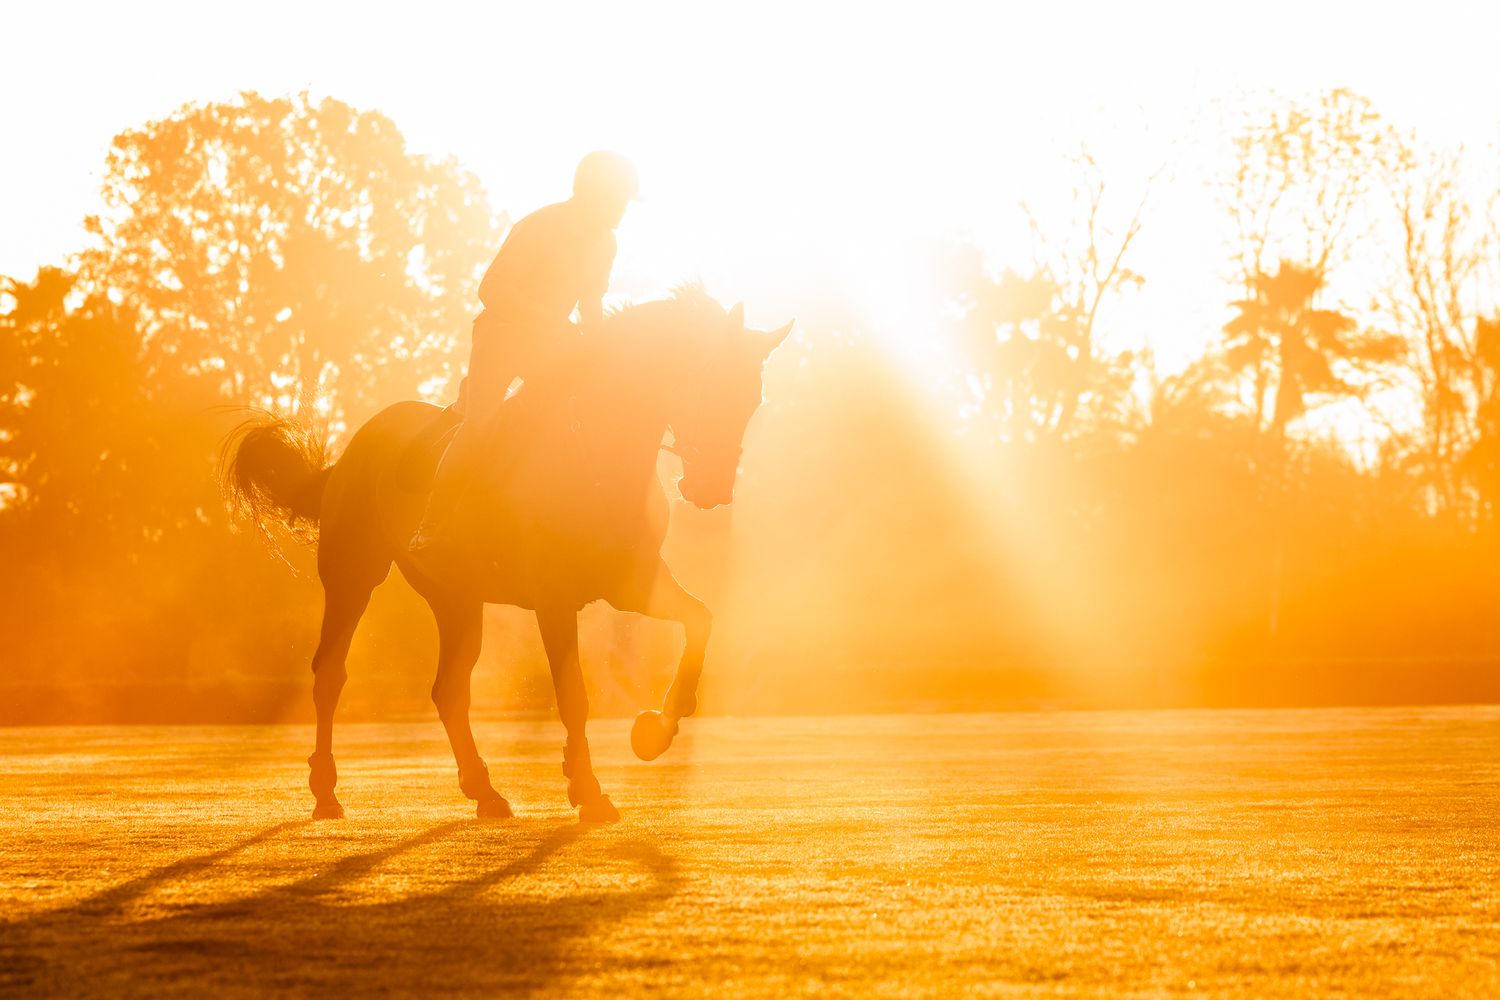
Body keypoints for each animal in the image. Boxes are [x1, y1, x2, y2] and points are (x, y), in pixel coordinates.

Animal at [222, 286, 791, 822]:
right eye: (709, 383)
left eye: (751, 399)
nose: (711, 489)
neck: (598, 455)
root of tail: (350, 453)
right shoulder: (555, 599)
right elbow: (573, 695)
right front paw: (589, 791)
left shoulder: (632, 583)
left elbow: (700, 620)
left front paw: (656, 729)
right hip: (353, 576)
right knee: (331, 675)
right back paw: (326, 791)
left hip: (455, 598)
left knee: (449, 690)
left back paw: (484, 791)